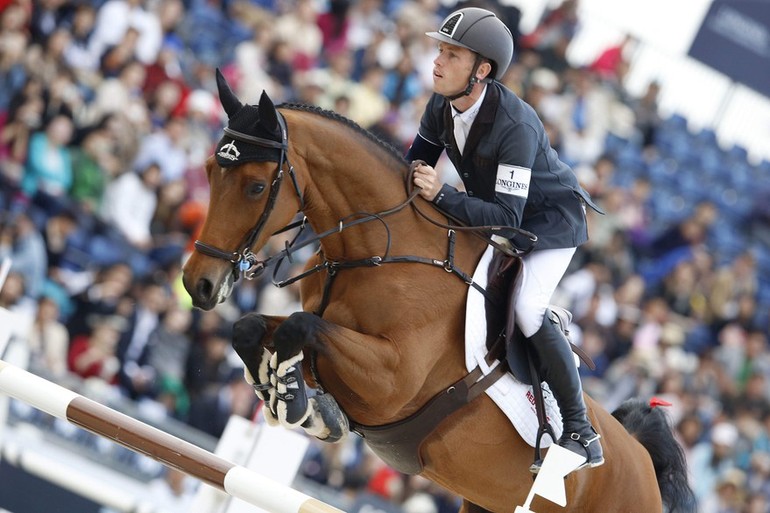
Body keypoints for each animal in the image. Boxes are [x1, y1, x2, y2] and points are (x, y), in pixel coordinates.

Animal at [183, 72, 692, 512]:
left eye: (255, 187)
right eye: (207, 170)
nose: (197, 284)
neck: (372, 253)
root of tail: (642, 461)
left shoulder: (390, 381)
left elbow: (300, 327)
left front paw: (294, 404)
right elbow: (254, 328)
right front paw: (288, 394)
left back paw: (578, 444)